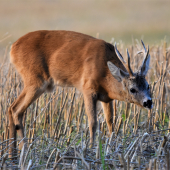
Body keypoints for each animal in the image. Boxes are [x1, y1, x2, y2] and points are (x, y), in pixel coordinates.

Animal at [7, 30, 152, 157]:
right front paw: (92, 148)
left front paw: (112, 145)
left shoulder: (107, 98)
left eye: (148, 85)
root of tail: (12, 48)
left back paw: (12, 154)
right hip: (35, 79)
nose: (148, 102)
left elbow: (110, 121)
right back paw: (23, 150)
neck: (105, 73)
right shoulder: (88, 88)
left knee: (12, 108)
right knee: (16, 109)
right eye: (132, 89)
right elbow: (93, 122)